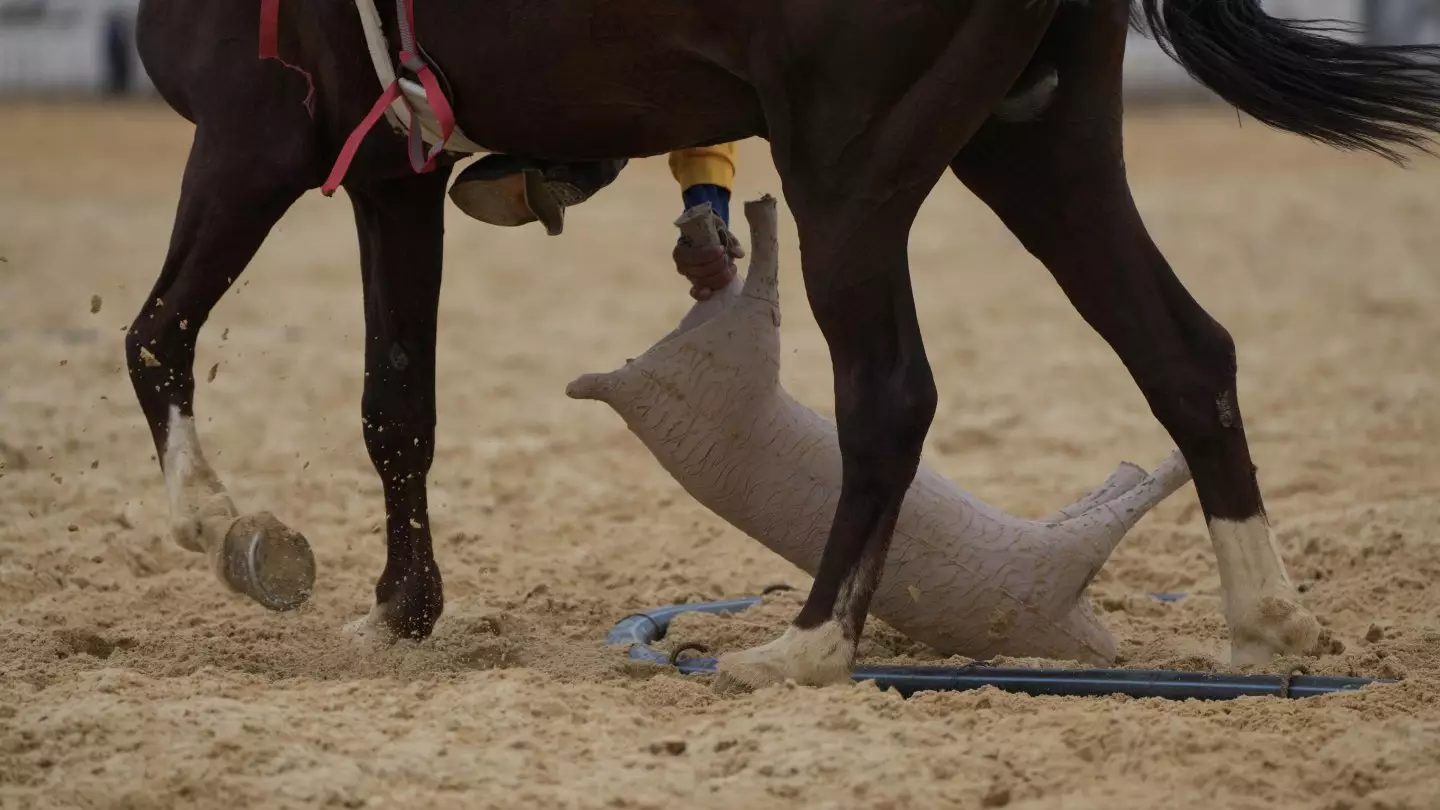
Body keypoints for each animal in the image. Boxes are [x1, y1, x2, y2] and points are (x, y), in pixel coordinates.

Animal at [129, 0, 1440, 683]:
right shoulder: (391, 169)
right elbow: (397, 403)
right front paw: (400, 612)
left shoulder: (253, 135)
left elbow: (154, 337)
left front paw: (227, 528)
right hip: (1041, 141)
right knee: (1184, 351)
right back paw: (1266, 626)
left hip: (850, 173)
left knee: (891, 394)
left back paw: (805, 647)